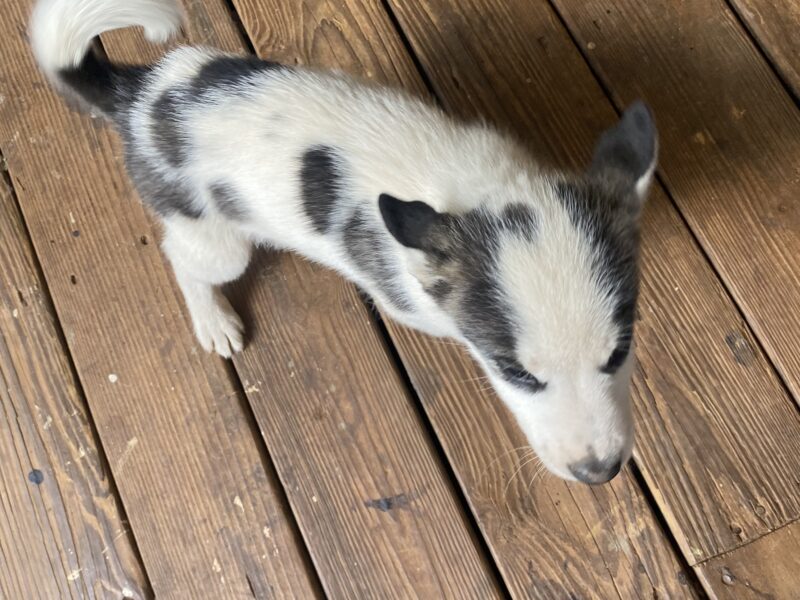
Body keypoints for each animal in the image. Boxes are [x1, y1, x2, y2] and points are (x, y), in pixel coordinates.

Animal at [29, 0, 656, 482]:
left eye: (620, 352)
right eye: (516, 374)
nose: (599, 473)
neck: (479, 189)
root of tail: (139, 94)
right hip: (216, 240)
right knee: (183, 261)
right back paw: (212, 320)